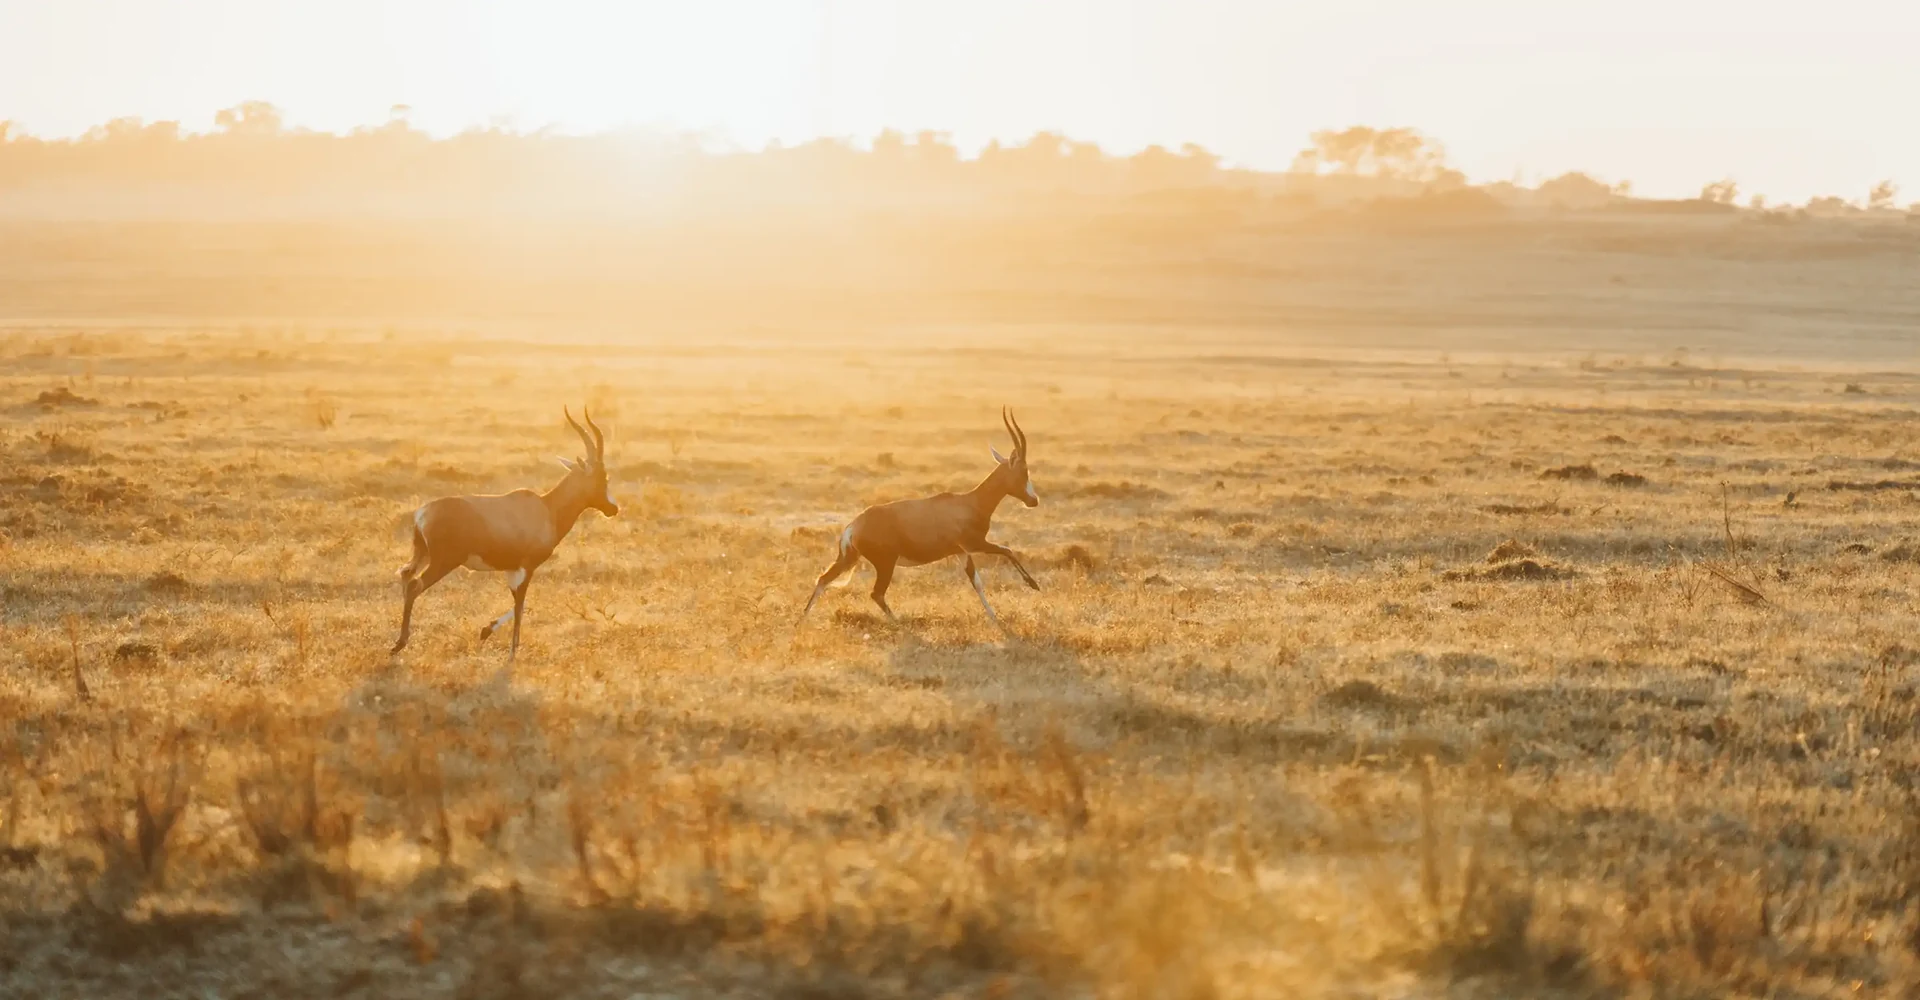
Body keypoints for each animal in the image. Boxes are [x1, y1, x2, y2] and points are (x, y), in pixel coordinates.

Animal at [391, 407, 619, 663]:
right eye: (603, 478)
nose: (613, 509)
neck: (546, 508)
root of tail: (423, 512)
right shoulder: (527, 567)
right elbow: (522, 604)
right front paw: (512, 652)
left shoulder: (512, 569)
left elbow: (519, 602)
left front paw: (485, 631)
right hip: (443, 562)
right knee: (414, 585)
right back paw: (400, 644)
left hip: (422, 555)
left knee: (405, 574)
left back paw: (399, 642)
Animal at [800, 407, 1041, 633]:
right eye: (1024, 471)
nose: (1034, 500)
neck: (970, 502)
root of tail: (853, 526)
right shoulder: (975, 545)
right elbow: (1007, 550)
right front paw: (1033, 585)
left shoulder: (962, 552)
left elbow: (977, 583)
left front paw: (995, 619)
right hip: (885, 564)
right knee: (876, 593)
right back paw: (900, 624)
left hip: (849, 558)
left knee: (823, 579)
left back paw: (801, 621)